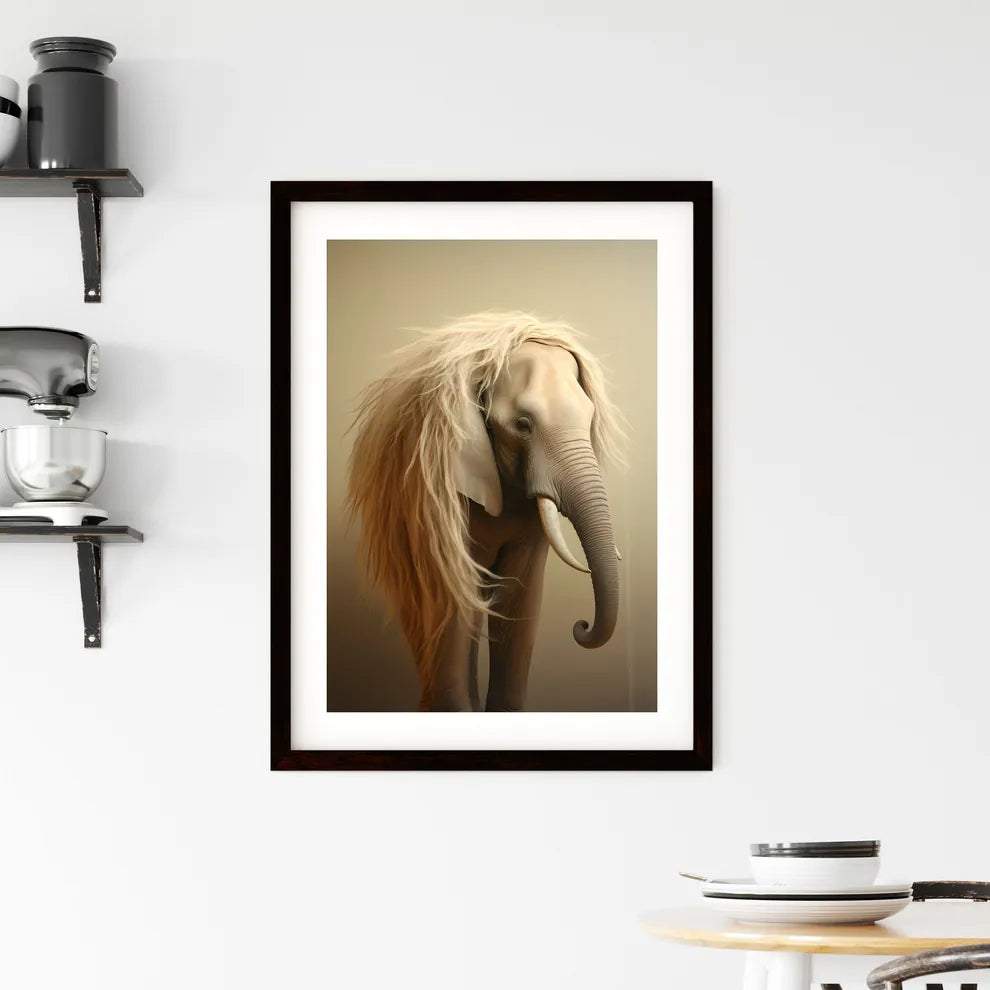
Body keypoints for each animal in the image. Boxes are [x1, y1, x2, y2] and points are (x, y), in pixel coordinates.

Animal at [347, 312, 623, 711]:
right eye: (523, 425)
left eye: (590, 420)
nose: (581, 627)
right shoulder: (441, 490)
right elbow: (452, 602)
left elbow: (520, 598)